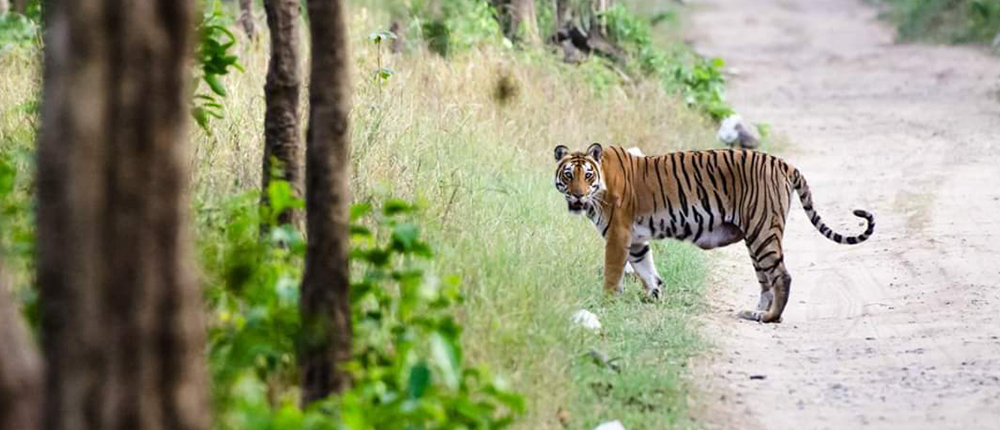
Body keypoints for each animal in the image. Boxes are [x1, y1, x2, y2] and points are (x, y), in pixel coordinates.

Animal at [556, 144, 876, 322]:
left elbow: (613, 272)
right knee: (766, 281)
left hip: (762, 231)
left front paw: (607, 302)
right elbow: (647, 270)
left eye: (587, 175)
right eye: (568, 175)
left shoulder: (619, 234)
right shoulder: (636, 240)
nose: (577, 195)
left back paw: (770, 318)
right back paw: (754, 313)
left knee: (782, 276)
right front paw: (655, 296)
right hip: (755, 238)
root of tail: (782, 162)